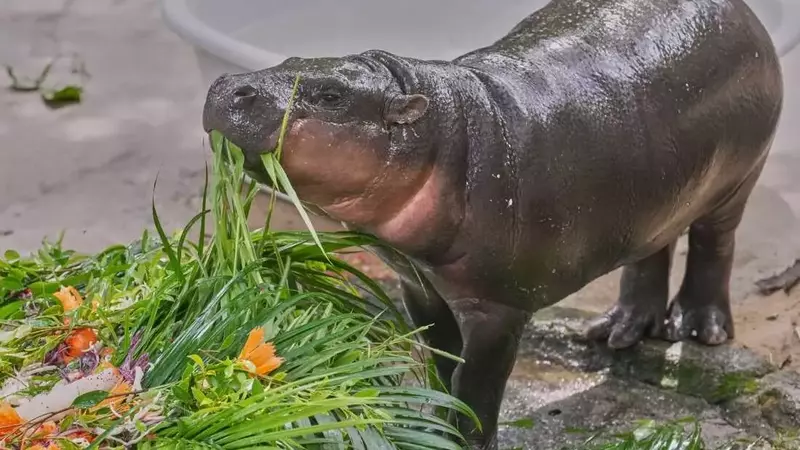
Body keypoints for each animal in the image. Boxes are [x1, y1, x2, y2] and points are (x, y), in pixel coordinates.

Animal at [202, 0, 783, 447]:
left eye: (331, 95)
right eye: (290, 58)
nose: (228, 84)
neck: (444, 132)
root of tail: (743, 11)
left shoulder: (498, 308)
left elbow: (476, 380)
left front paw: (466, 438)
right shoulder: (417, 284)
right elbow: (440, 358)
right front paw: (434, 423)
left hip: (738, 178)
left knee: (713, 243)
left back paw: (699, 329)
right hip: (659, 196)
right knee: (652, 250)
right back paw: (617, 333)